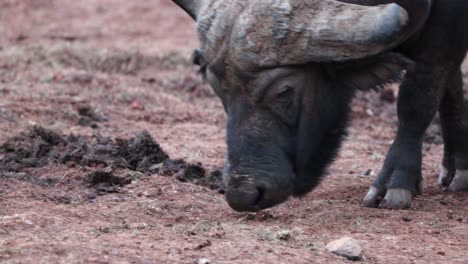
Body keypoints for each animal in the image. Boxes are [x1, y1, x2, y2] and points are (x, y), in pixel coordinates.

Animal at [173, 0, 468, 210]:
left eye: (285, 91)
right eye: (217, 90)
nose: (243, 195)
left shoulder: (443, 31)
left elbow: (416, 100)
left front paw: (394, 183)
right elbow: (450, 82)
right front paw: (458, 167)